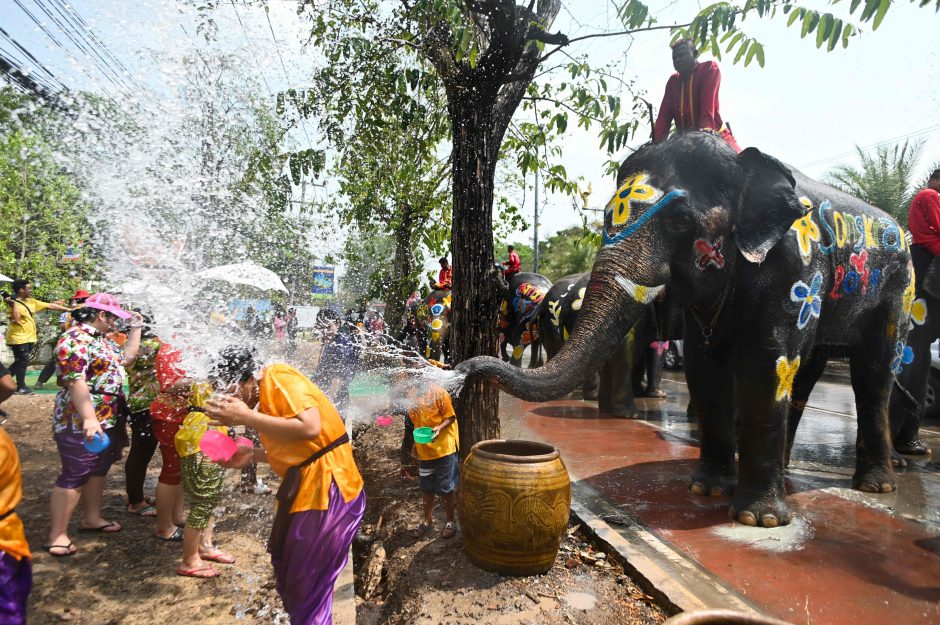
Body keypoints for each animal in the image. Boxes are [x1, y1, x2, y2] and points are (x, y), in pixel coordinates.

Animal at [458, 130, 916, 528]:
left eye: (680, 218)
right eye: (605, 215)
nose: (464, 369)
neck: (742, 164)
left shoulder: (798, 268)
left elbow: (768, 362)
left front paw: (758, 519)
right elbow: (704, 365)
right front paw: (707, 491)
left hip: (899, 290)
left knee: (873, 374)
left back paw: (876, 486)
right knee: (809, 372)